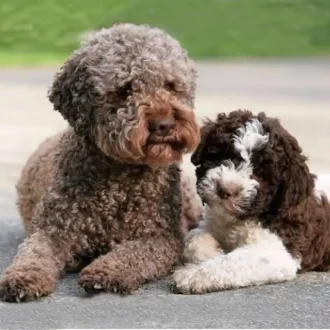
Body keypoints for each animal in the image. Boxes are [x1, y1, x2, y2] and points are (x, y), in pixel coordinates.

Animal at [0, 23, 201, 302]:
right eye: (125, 89)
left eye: (171, 85)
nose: (164, 124)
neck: (120, 179)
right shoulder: (51, 231)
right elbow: (33, 254)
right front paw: (22, 277)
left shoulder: (161, 237)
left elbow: (132, 255)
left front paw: (105, 272)